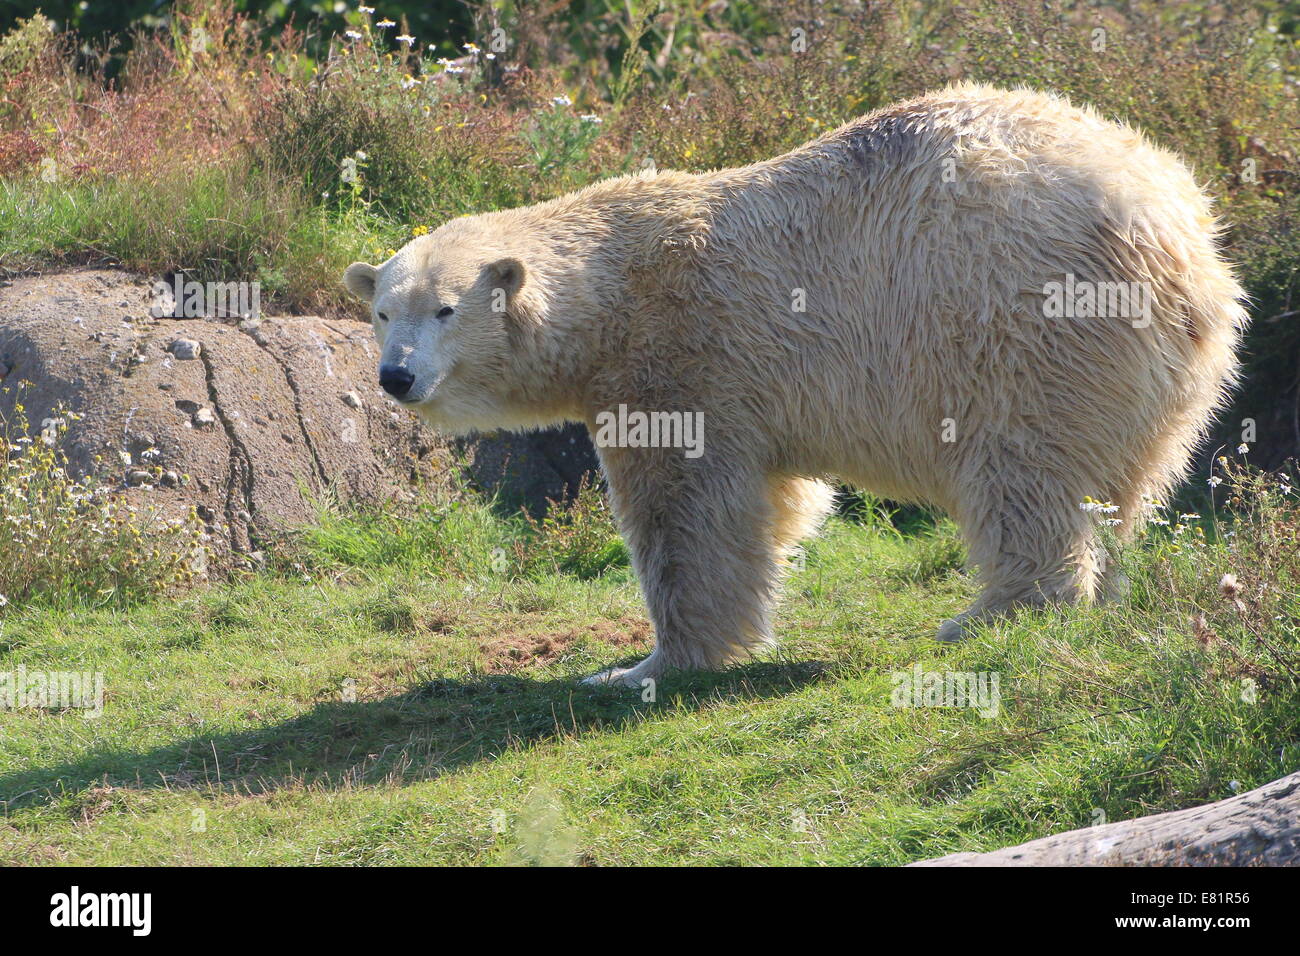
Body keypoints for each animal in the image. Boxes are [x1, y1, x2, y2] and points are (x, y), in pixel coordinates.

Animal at [343, 83, 1248, 686]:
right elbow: (776, 501)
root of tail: (1176, 233)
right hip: (1154, 371)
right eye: (383, 311)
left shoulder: (680, 358)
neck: (611, 287)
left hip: (1027, 321)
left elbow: (687, 512)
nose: (396, 376)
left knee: (1024, 472)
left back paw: (990, 612)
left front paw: (650, 665)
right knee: (1123, 485)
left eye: (445, 309)